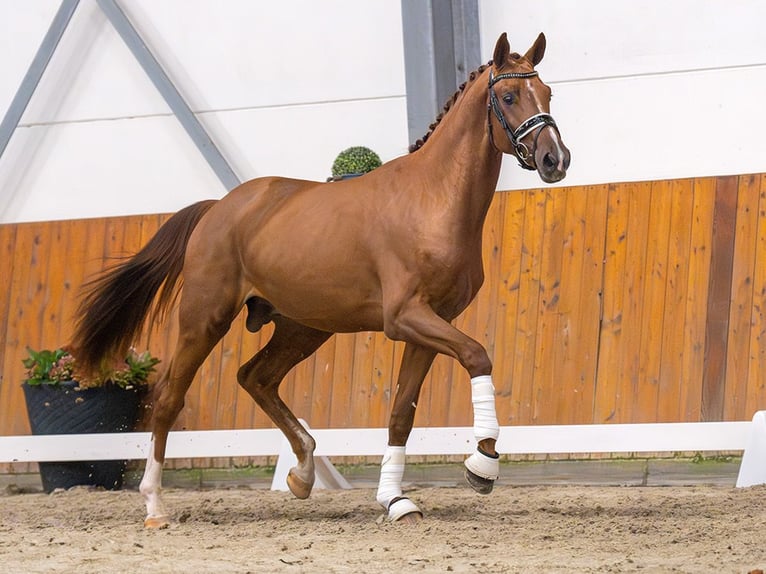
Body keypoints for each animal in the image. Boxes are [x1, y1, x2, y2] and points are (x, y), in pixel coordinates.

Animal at [73, 31, 568, 528]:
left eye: (548, 94)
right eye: (509, 96)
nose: (555, 159)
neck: (433, 200)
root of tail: (218, 208)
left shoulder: (432, 325)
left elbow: (401, 414)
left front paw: (396, 500)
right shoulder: (405, 318)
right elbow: (477, 355)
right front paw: (482, 464)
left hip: (303, 328)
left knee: (255, 378)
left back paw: (303, 472)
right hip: (204, 320)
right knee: (169, 397)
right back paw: (155, 505)